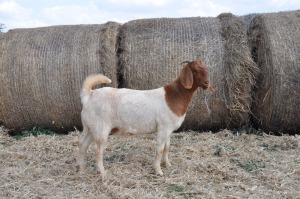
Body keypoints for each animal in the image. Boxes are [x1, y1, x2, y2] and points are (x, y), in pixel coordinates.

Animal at [78, 59, 211, 176]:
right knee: (98, 150)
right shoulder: (163, 128)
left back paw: (82, 169)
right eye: (195, 70)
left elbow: (167, 147)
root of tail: (88, 96)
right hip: (101, 128)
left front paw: (168, 165)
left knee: (83, 145)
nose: (207, 83)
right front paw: (159, 171)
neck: (174, 96)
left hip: (91, 128)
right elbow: (160, 149)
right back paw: (102, 172)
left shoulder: (168, 129)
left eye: (206, 69)